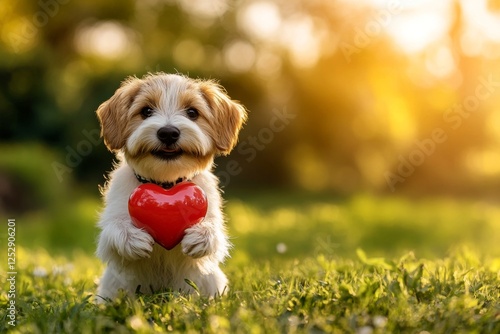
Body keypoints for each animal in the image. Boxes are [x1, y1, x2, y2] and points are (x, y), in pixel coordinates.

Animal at [93, 72, 246, 300]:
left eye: (192, 112)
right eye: (146, 111)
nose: (168, 133)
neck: (165, 182)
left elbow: (214, 234)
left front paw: (202, 235)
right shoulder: (112, 226)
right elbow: (113, 232)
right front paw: (132, 238)